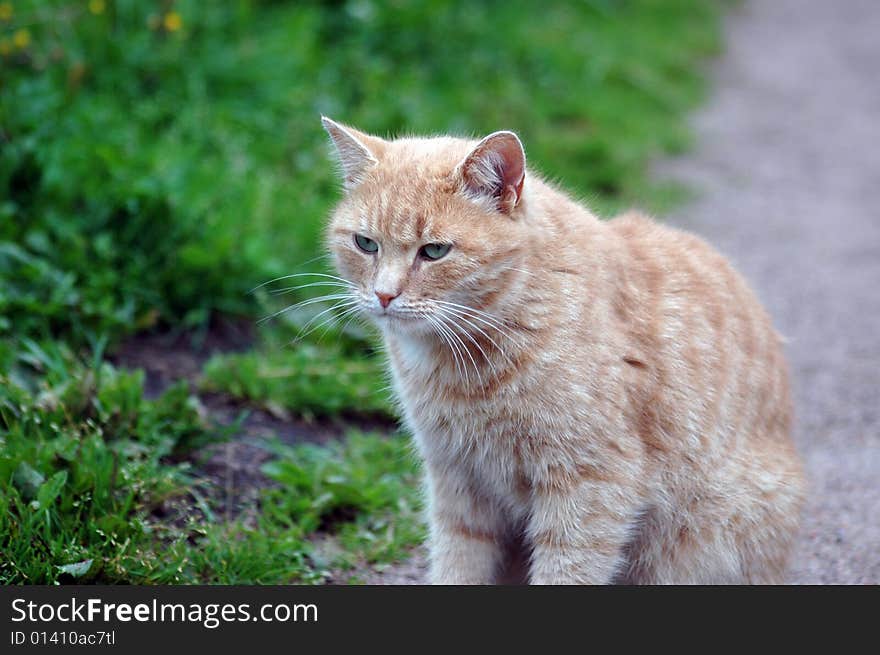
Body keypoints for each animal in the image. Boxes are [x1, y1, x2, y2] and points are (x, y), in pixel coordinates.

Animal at [318, 116, 804, 584]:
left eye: (434, 251)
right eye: (366, 243)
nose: (383, 295)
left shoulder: (589, 484)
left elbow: (566, 569)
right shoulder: (457, 479)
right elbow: (457, 564)